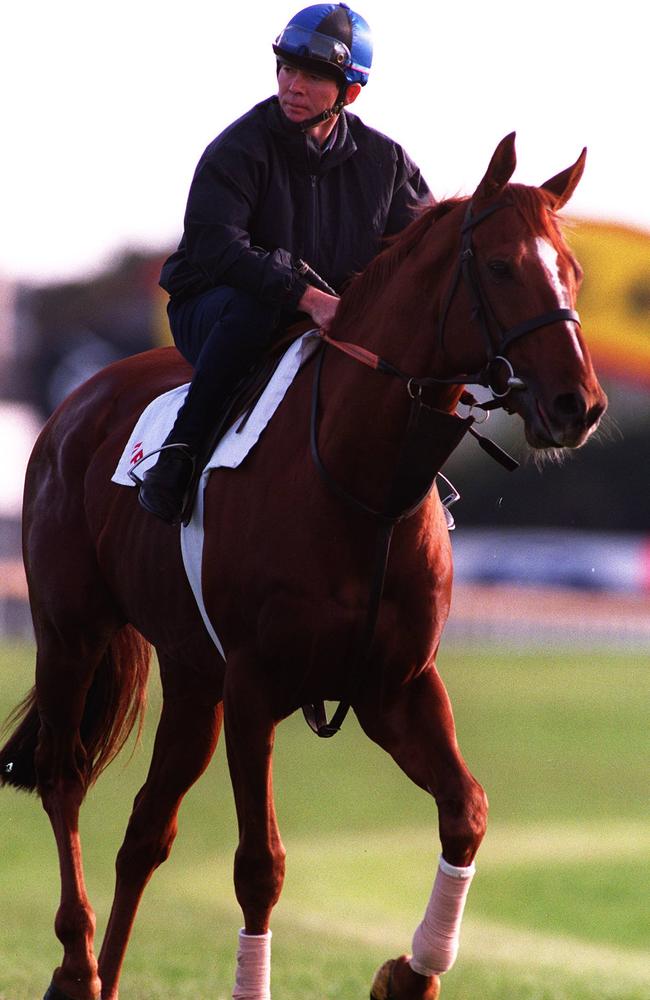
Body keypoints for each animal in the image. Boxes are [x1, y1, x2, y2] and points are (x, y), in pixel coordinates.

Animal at [2, 135, 604, 1000]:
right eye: (498, 266)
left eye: (574, 270)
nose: (575, 405)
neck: (360, 483)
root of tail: (75, 406)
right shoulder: (257, 688)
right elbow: (261, 865)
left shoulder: (395, 687)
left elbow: (467, 811)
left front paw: (409, 972)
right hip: (70, 633)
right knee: (63, 779)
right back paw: (79, 967)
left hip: (194, 678)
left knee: (145, 830)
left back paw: (104, 974)